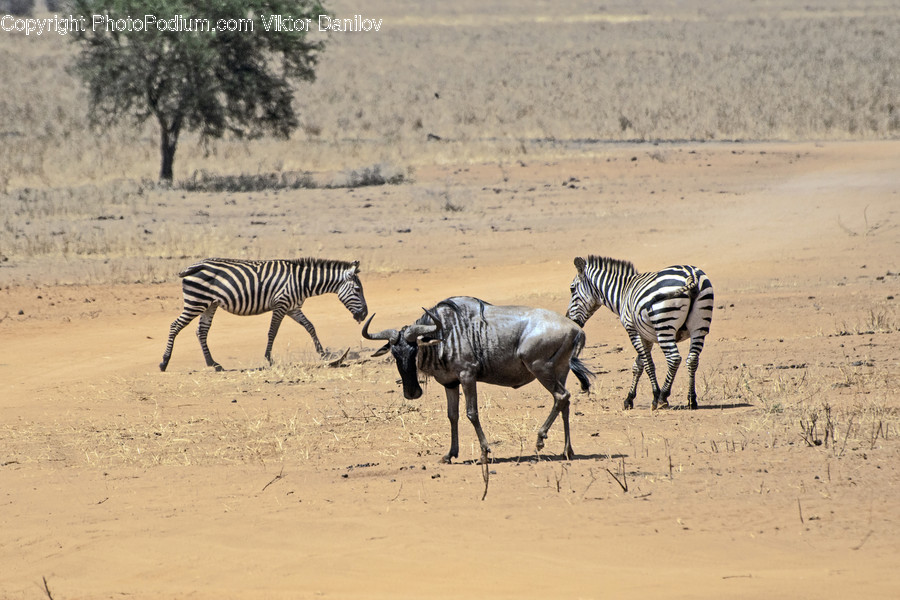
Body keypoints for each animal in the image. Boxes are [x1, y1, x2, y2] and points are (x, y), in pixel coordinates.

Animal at [159, 258, 368, 372]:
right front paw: (269, 358)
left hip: (209, 304)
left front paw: (323, 353)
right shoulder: (281, 304)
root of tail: (195, 265)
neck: (302, 282)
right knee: (175, 326)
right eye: (358, 290)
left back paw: (213, 364)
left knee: (201, 331)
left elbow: (310, 326)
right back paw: (164, 362)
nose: (364, 315)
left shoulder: (293, 308)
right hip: (196, 301)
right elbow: (272, 332)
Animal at [566, 256, 714, 410]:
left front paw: (655, 396)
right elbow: (638, 365)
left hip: (664, 326)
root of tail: (690, 274)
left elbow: (648, 364)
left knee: (674, 358)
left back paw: (663, 397)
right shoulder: (646, 336)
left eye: (572, 289)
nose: (568, 318)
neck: (623, 293)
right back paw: (691, 400)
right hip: (699, 326)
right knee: (692, 359)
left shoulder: (633, 330)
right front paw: (629, 398)